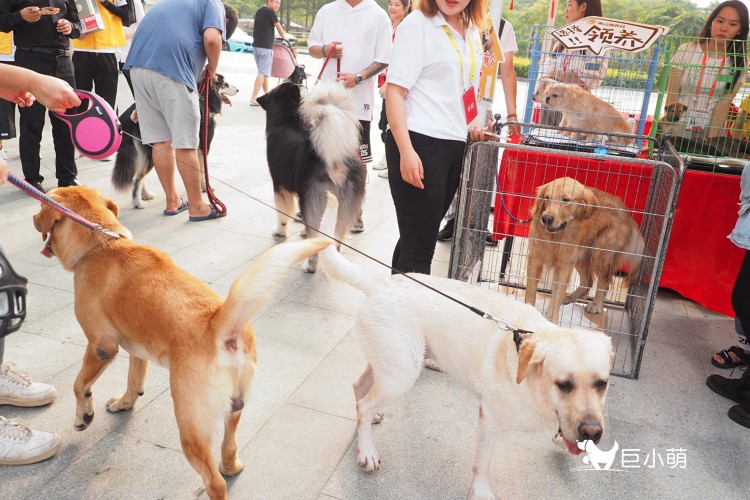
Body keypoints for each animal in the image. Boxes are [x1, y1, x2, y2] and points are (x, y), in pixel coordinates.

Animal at [32, 188, 330, 500]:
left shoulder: (101, 345)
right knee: (229, 447)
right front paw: (125, 402)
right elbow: (133, 380)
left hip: (191, 425)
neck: (102, 243)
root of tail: (219, 324)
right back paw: (232, 465)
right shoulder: (137, 348)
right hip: (233, 407)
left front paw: (83, 415)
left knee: (215, 482)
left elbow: (79, 385)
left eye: (41, 205)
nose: (33, 219)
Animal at [318, 195, 616, 500]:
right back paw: (366, 451)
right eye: (563, 384)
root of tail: (381, 282)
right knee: (363, 405)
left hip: (394, 362)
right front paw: (481, 491)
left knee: (359, 387)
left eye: (601, 384)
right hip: (400, 376)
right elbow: (481, 465)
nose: (592, 433)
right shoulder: (490, 419)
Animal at [524, 178, 648, 322]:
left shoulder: (564, 266)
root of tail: (627, 213)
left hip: (600, 257)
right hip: (581, 257)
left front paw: (551, 319)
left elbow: (557, 293)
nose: (546, 219)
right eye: (547, 198)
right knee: (588, 281)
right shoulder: (534, 259)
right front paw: (529, 311)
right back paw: (570, 297)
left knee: (604, 282)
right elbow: (531, 290)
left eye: (566, 200)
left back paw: (596, 305)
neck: (556, 237)